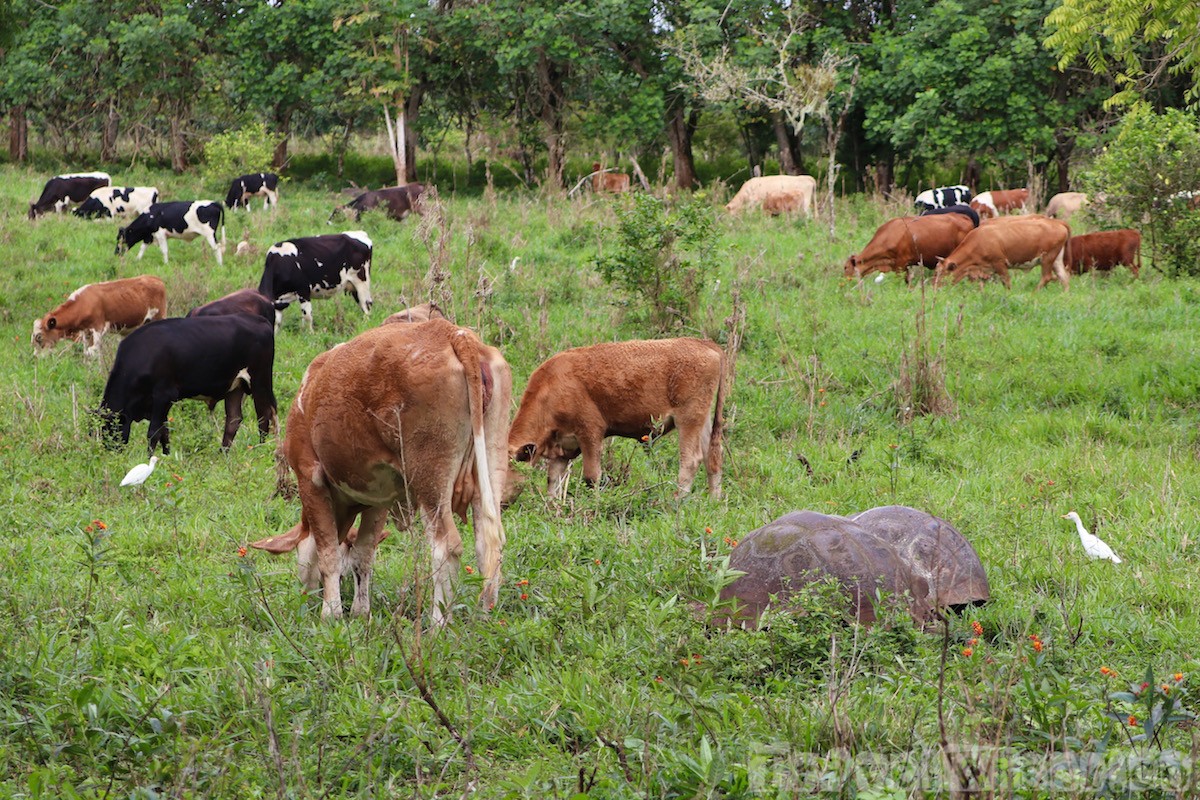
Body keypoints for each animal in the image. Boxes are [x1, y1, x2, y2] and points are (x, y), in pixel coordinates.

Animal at [32, 275, 166, 357]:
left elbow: (93, 352)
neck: (84, 302)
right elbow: (86, 352)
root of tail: (156, 279)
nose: (35, 357)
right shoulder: (86, 332)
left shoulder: (98, 328)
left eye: (39, 337)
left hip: (159, 317)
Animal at [98, 314, 277, 455]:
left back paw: (260, 449)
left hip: (260, 380)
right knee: (234, 419)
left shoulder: (164, 395)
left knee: (263, 415)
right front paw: (165, 457)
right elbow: (164, 432)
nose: (111, 452)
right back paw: (222, 454)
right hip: (235, 387)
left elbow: (154, 431)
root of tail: (259, 320)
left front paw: (148, 460)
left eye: (111, 430)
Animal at [249, 319, 511, 623]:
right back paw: (485, 614)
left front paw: (331, 613)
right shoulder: (378, 498)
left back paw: (438, 622)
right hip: (492, 458)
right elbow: (364, 555)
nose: (307, 596)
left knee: (446, 546)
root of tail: (450, 332)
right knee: (489, 542)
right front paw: (360, 611)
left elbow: (328, 554)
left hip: (429, 477)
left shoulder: (309, 477)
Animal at [508, 338, 726, 500]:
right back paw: (714, 502)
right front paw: (553, 508)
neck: (550, 389)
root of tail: (705, 344)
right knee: (712, 457)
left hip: (688, 419)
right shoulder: (562, 446)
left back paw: (678, 501)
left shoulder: (590, 433)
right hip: (704, 420)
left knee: (690, 460)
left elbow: (591, 477)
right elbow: (553, 479)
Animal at [934, 215, 1071, 291]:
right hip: (1056, 259)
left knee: (1047, 277)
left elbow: (1006, 282)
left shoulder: (999, 263)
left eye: (942, 273)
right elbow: (981, 285)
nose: (935, 289)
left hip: (1047, 258)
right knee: (1063, 277)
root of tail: (1057, 222)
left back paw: (1034, 293)